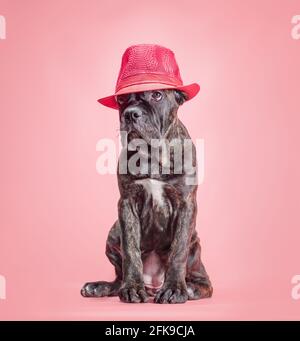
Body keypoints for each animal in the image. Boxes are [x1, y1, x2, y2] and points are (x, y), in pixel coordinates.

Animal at [81, 88, 213, 302]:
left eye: (157, 95)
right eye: (122, 99)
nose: (130, 114)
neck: (153, 155)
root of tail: (153, 285)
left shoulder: (186, 204)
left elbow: (178, 251)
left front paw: (174, 289)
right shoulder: (127, 203)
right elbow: (130, 251)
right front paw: (133, 288)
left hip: (195, 243)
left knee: (204, 282)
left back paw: (191, 289)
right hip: (113, 232)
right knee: (118, 279)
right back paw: (99, 287)